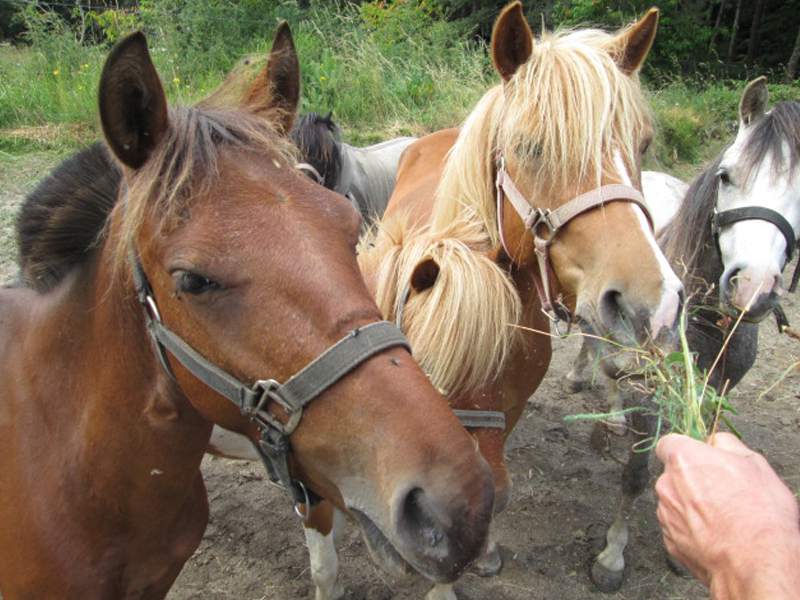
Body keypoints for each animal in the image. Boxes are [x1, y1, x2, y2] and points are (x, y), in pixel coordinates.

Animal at [296, 2, 684, 596]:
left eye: (640, 145)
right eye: (531, 147)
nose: (650, 306)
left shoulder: (506, 410)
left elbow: (492, 490)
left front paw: (488, 551)